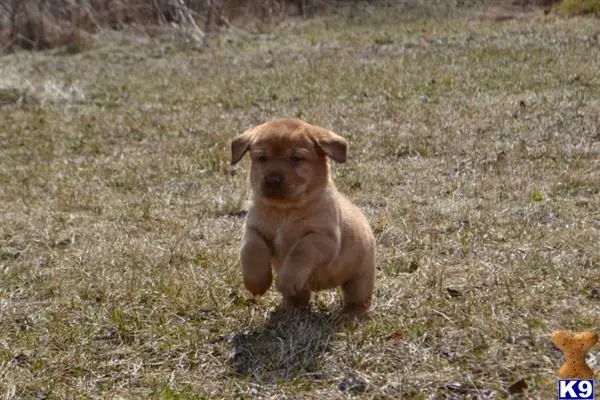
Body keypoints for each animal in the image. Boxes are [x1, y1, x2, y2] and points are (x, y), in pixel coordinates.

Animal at [230, 119, 376, 316]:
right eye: (262, 158)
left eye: (296, 158)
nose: (273, 180)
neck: (285, 211)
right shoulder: (254, 230)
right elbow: (252, 251)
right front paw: (256, 283)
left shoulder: (322, 237)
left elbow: (299, 252)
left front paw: (286, 281)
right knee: (300, 297)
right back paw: (288, 308)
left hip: (361, 277)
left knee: (359, 299)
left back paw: (351, 315)